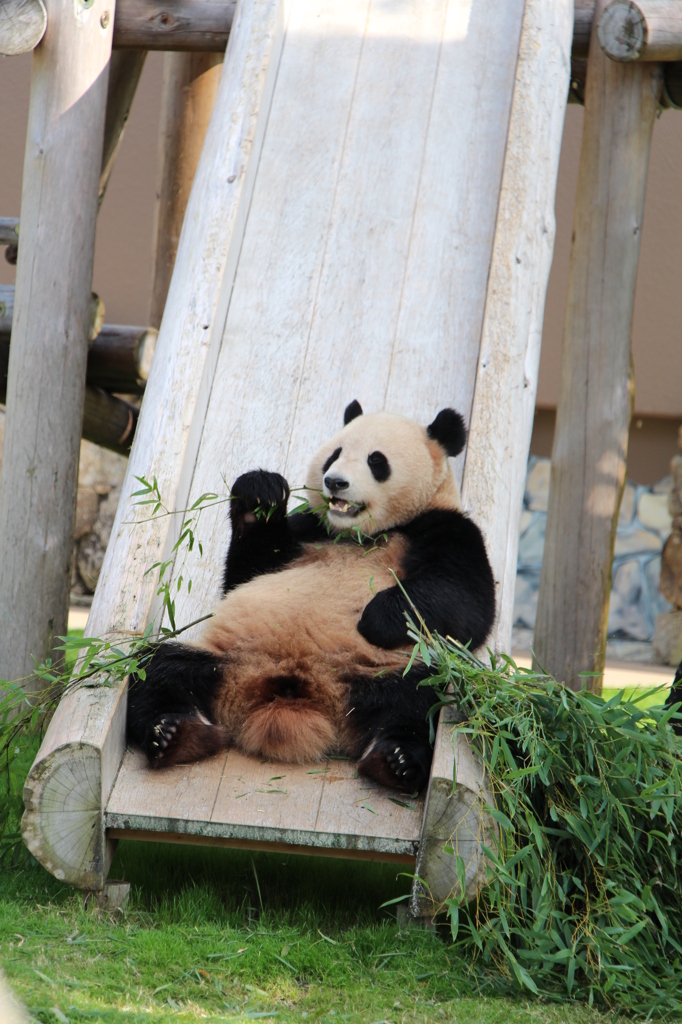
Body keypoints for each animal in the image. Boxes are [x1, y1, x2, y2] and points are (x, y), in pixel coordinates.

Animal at [124, 399, 491, 790]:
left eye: (376, 461)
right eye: (335, 455)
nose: (335, 482)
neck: (361, 533)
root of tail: (297, 693)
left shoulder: (447, 528)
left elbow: (463, 602)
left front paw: (375, 618)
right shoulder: (310, 529)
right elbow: (247, 574)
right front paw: (259, 495)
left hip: (386, 673)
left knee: (417, 703)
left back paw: (397, 761)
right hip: (221, 661)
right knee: (155, 670)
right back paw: (175, 734)